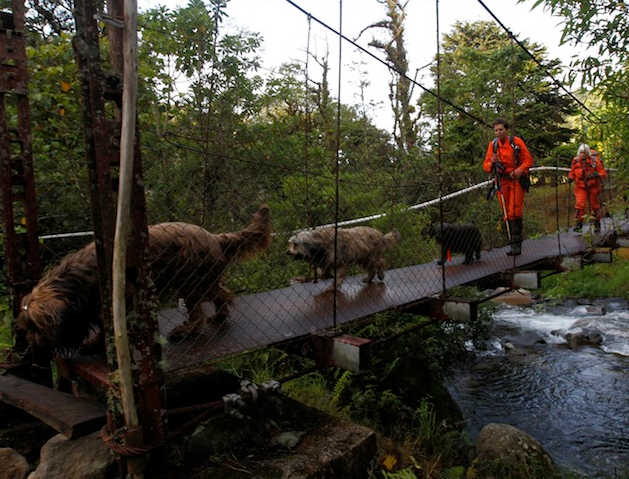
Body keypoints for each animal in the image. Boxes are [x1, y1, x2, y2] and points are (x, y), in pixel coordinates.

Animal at [16, 206, 270, 352]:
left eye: (34, 326)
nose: (32, 347)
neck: (72, 283)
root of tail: (214, 237)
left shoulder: (123, 296)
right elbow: (102, 324)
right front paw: (96, 342)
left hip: (189, 279)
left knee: (199, 314)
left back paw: (185, 331)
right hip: (201, 280)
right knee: (223, 294)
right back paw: (219, 315)